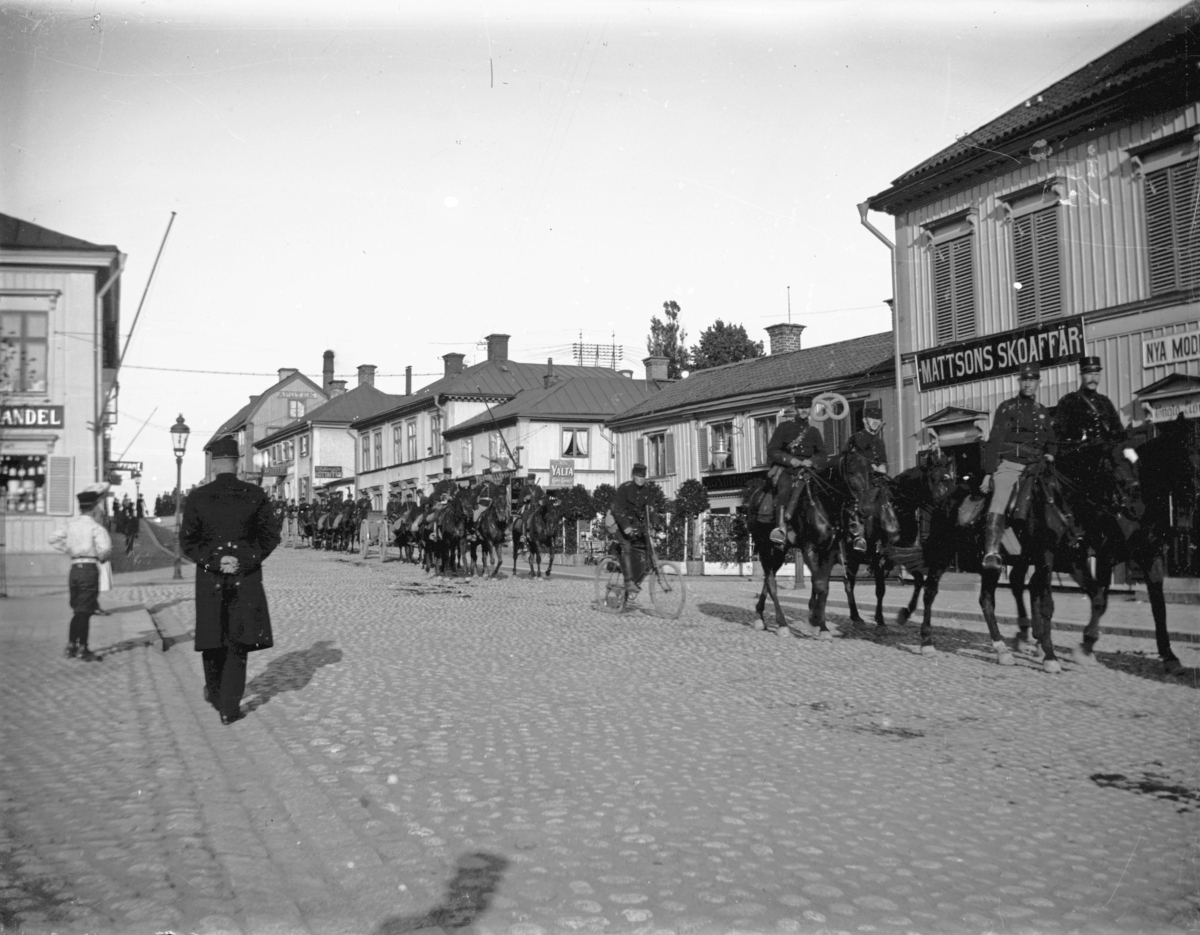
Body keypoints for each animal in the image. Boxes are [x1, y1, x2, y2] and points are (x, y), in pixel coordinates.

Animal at [744, 468, 840, 638]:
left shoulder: (830, 550)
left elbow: (822, 584)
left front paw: (817, 621)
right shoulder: (809, 548)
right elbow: (819, 583)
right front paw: (817, 622)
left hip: (780, 552)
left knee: (768, 578)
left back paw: (760, 616)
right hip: (764, 547)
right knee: (770, 581)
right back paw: (782, 624)